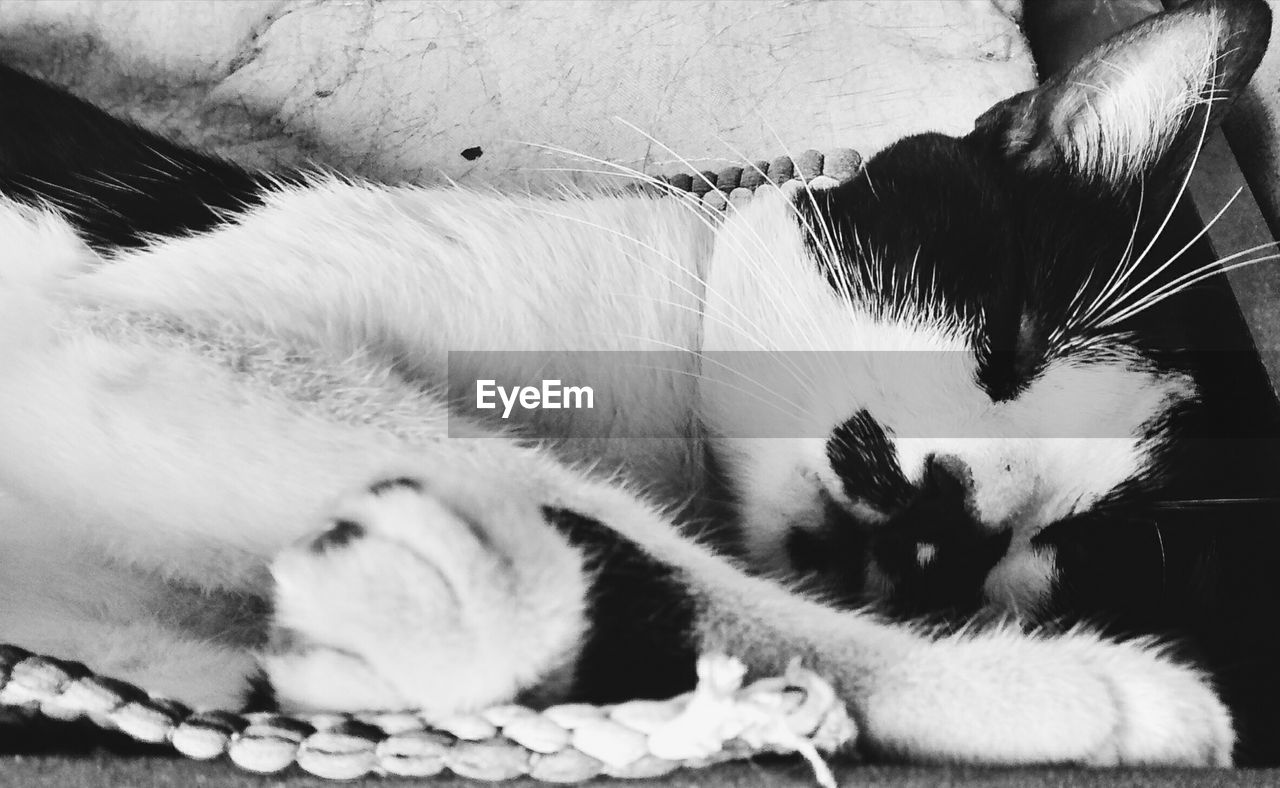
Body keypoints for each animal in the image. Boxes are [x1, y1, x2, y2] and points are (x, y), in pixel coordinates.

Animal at [2, 0, 1280, 767]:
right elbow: (636, 539)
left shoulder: (131, 650)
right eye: (1018, 331)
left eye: (1082, 538)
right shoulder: (121, 343)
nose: (945, 519)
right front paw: (1066, 690)